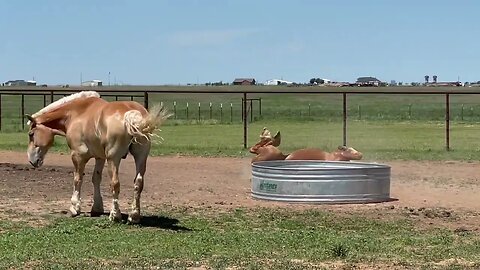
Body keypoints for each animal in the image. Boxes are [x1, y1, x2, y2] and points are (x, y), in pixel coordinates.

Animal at [24, 92, 171, 223]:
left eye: (31, 134)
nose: (31, 160)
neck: (75, 113)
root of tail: (132, 114)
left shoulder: (78, 156)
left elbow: (78, 179)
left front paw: (74, 208)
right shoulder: (100, 157)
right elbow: (96, 178)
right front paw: (97, 208)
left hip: (114, 159)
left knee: (115, 183)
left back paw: (115, 215)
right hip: (141, 156)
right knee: (138, 183)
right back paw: (133, 216)